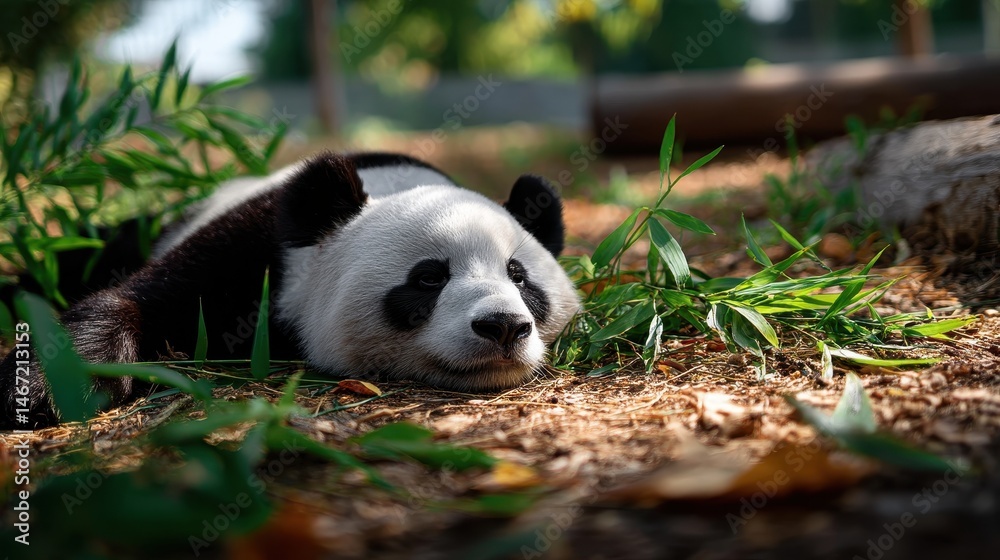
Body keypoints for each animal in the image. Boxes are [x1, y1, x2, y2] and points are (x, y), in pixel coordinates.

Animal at [0, 152, 580, 428]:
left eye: (519, 276)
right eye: (429, 277)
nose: (502, 327)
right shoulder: (257, 245)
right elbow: (141, 298)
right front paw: (46, 387)